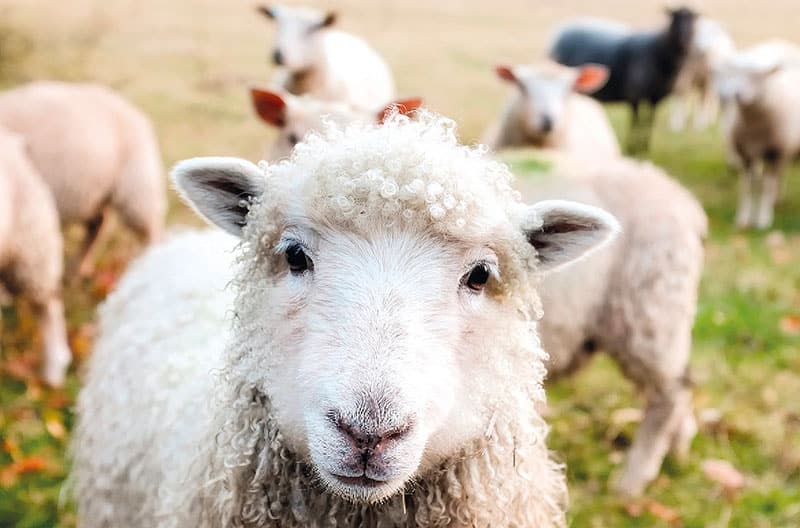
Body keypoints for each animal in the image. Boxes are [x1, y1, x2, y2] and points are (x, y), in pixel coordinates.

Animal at [0, 81, 166, 276]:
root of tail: (130, 107)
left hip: (137, 186)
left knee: (150, 231)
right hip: (94, 193)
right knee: (98, 225)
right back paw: (78, 269)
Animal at [549, 7, 698, 152]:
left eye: (693, 20)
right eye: (675, 18)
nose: (684, 39)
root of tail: (561, 30)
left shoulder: (655, 99)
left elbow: (648, 123)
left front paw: (644, 148)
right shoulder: (634, 95)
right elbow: (636, 122)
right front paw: (633, 148)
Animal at [714, 42, 800, 229]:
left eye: (757, 77)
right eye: (736, 74)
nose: (737, 95)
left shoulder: (776, 153)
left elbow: (767, 186)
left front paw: (763, 219)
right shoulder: (746, 154)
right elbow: (748, 186)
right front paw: (743, 218)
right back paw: (777, 199)